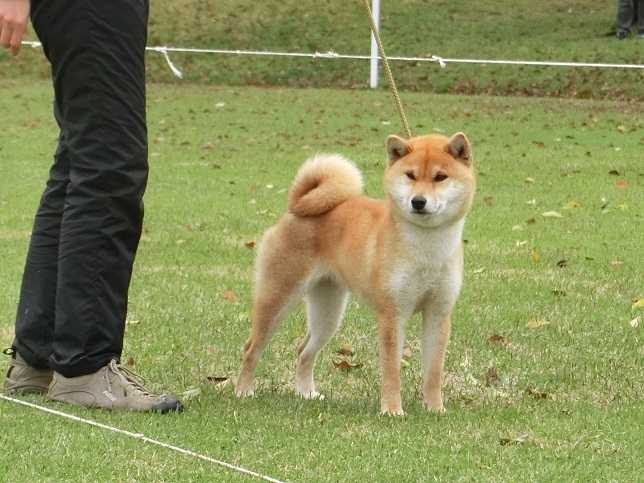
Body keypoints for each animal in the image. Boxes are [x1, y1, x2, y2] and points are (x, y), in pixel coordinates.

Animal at [235, 132, 476, 415]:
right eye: (410, 175)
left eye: (440, 177)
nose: (418, 201)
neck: (427, 248)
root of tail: (295, 208)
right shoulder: (392, 314)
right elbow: (391, 369)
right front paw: (392, 410)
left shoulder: (438, 313)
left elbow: (434, 371)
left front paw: (435, 409)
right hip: (277, 298)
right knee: (251, 347)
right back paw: (243, 390)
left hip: (328, 313)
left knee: (304, 351)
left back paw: (306, 393)